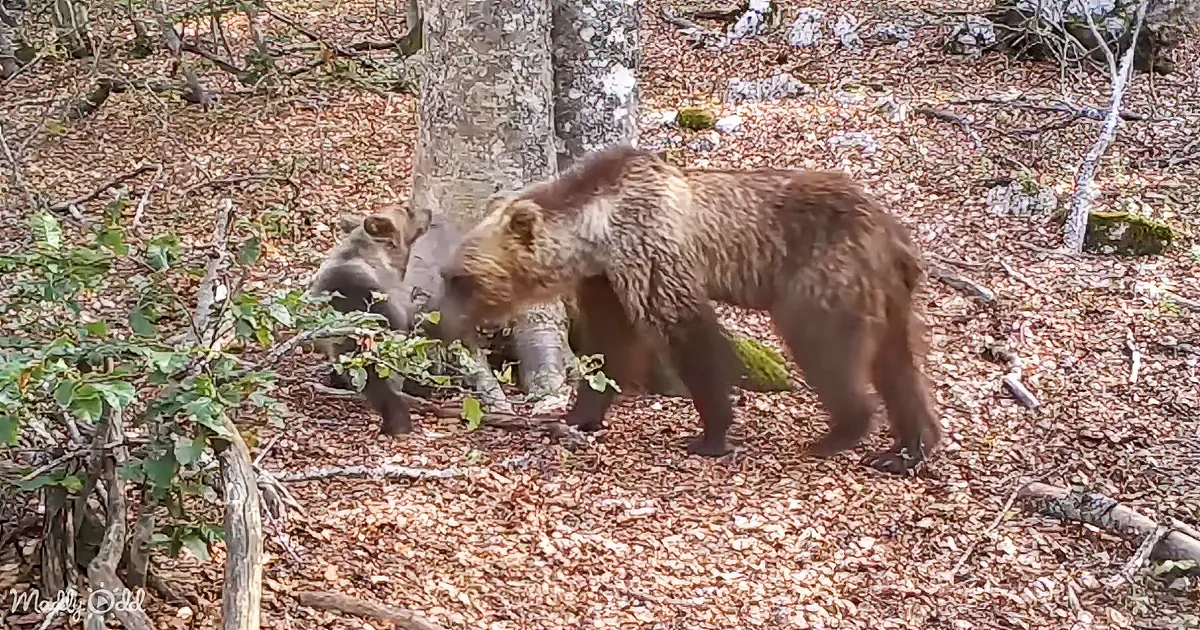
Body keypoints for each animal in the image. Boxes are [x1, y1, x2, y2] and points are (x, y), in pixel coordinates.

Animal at [434, 145, 941, 475]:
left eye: (463, 280)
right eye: (449, 276)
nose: (439, 324)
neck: (595, 233)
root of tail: (894, 234)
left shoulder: (650, 250)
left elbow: (689, 334)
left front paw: (709, 435)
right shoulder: (607, 278)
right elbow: (611, 345)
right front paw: (579, 414)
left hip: (820, 282)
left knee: (827, 351)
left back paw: (837, 435)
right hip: (889, 297)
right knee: (899, 367)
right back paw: (906, 449)